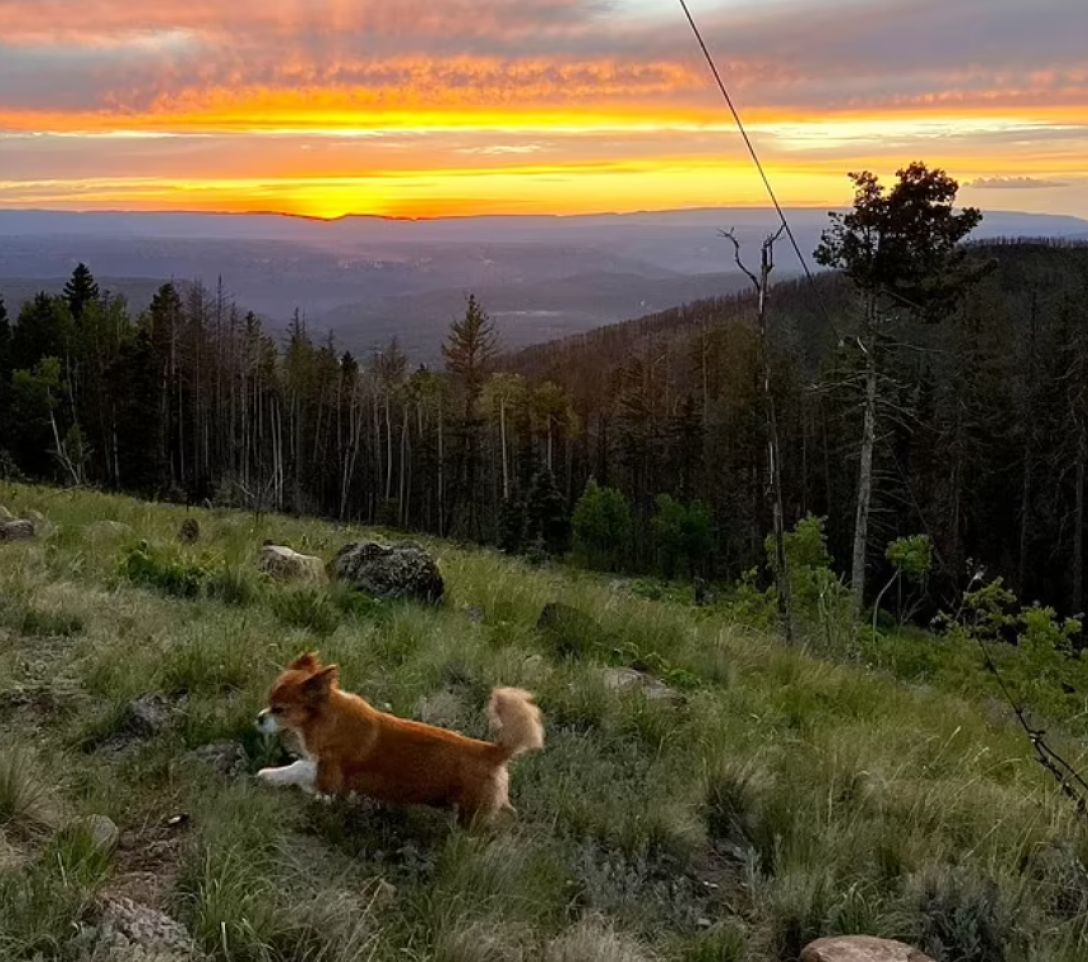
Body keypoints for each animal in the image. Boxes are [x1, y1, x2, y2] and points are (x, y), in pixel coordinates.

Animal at [254, 652, 544, 827]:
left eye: (279, 710)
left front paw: (270, 775)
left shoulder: (329, 771)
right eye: (268, 703)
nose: (259, 718)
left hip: (471, 813)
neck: (325, 719)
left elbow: (298, 767)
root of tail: (493, 751)